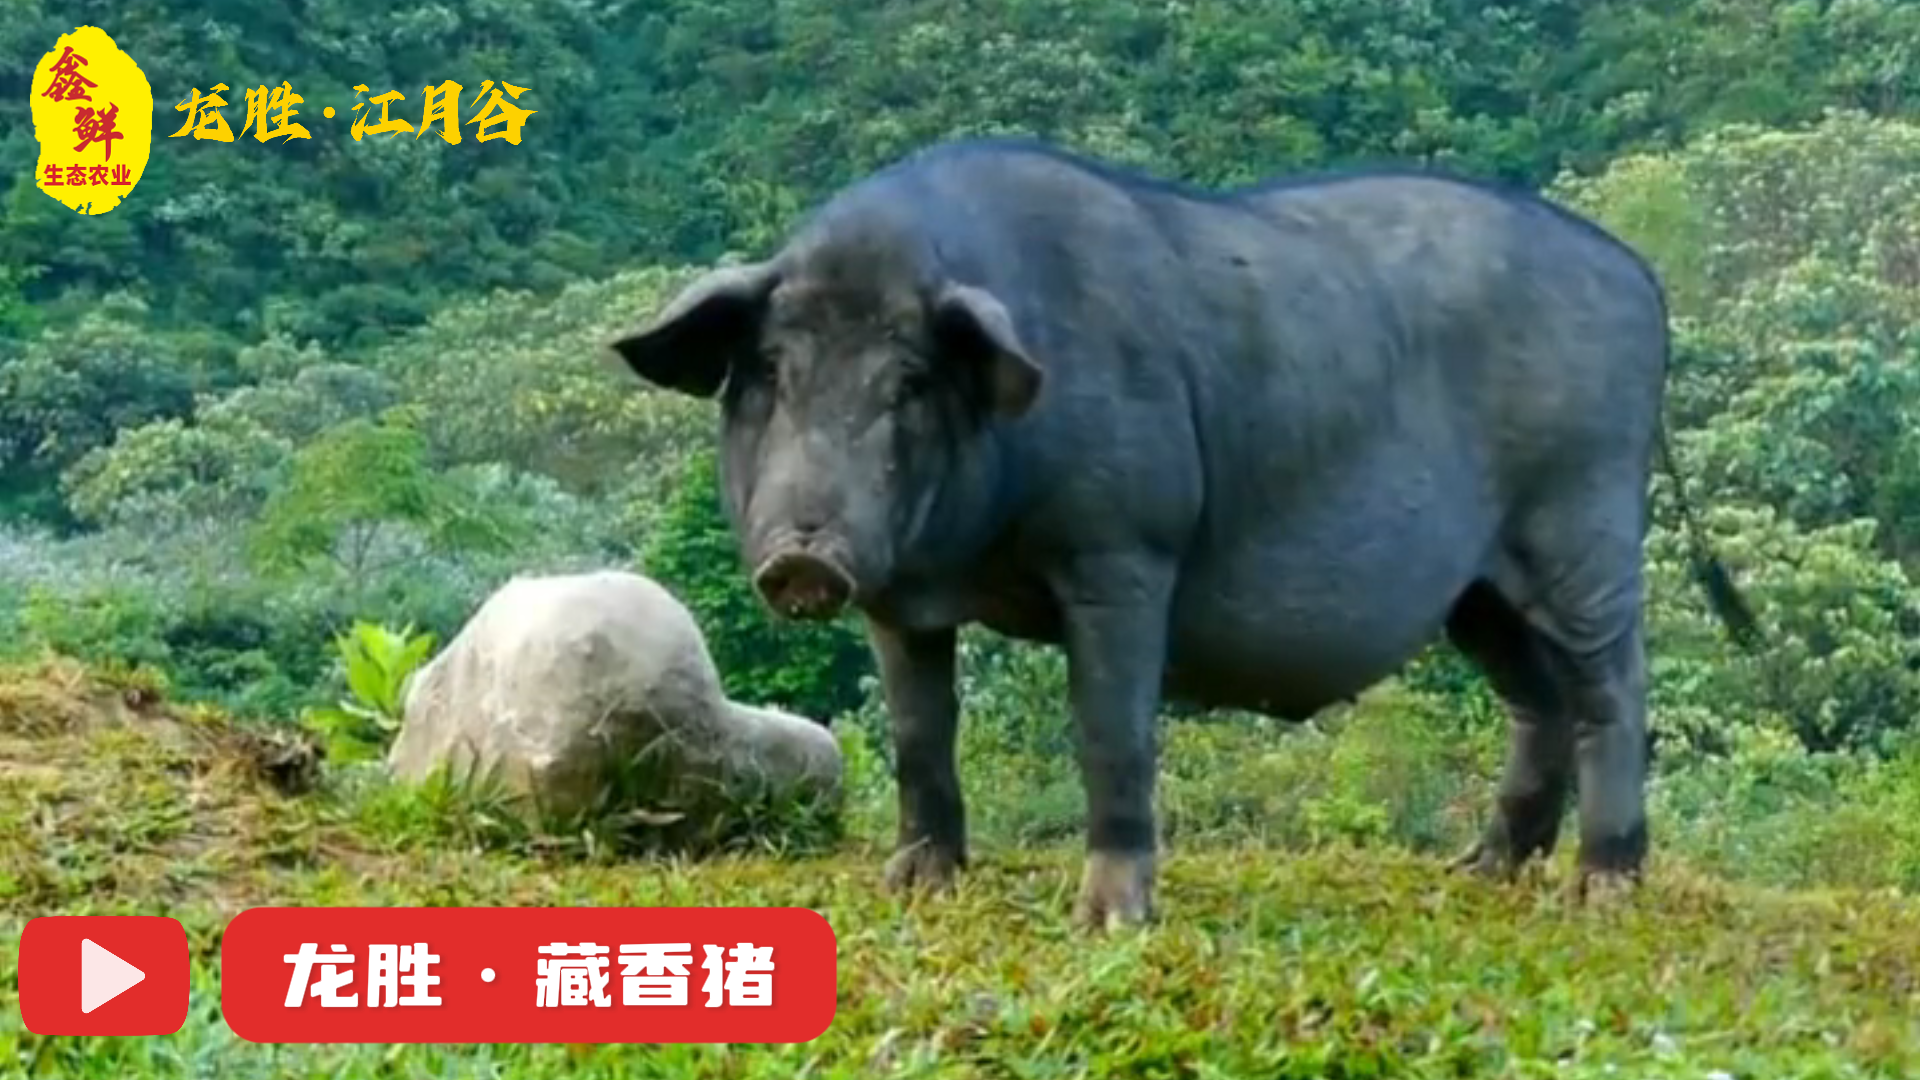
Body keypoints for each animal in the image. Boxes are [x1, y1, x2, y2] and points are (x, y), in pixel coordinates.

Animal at [607, 137, 1758, 929]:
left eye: (909, 383)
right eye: (767, 372)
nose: (804, 554)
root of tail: (1642, 280)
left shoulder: (1123, 549)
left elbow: (1111, 728)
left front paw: (1109, 919)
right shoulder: (902, 597)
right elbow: (918, 731)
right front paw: (916, 883)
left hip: (1583, 520)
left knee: (1614, 688)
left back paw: (1603, 890)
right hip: (1476, 587)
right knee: (1535, 698)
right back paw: (1478, 871)